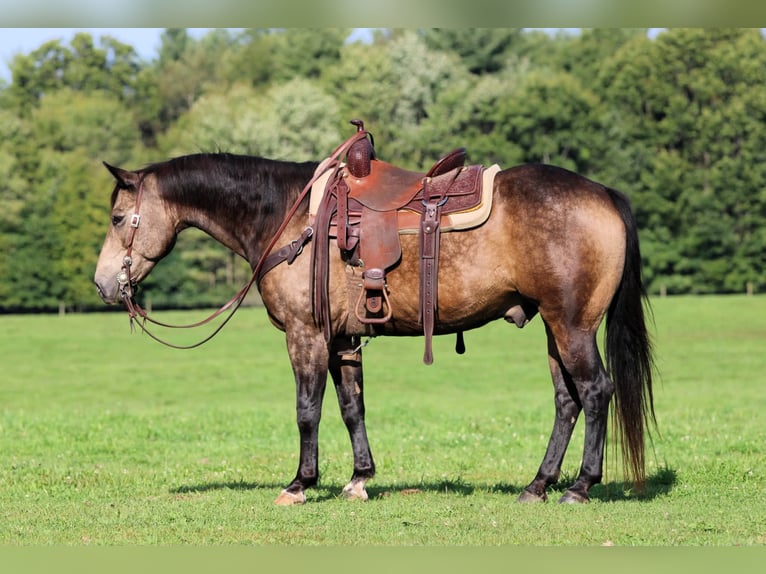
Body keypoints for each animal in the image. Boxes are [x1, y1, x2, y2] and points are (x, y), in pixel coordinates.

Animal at [93, 131, 655, 506]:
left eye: (119, 218)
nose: (103, 284)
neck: (287, 218)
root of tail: (602, 193)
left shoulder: (306, 336)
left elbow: (307, 410)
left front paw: (300, 484)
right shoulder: (342, 340)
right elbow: (351, 408)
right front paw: (360, 478)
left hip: (572, 326)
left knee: (596, 391)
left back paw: (580, 486)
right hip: (554, 329)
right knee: (567, 400)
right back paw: (537, 485)